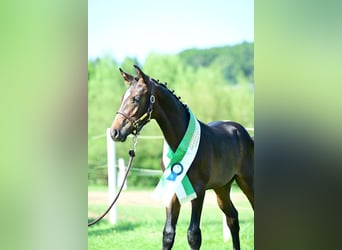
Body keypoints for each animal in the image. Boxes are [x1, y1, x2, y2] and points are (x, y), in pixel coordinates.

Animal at [110, 65, 254, 249]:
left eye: (135, 99)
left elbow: (194, 235)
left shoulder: (199, 191)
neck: (180, 141)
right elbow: (168, 233)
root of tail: (243, 133)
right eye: (123, 97)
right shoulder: (172, 188)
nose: (115, 132)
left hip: (247, 181)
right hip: (222, 187)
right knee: (232, 218)